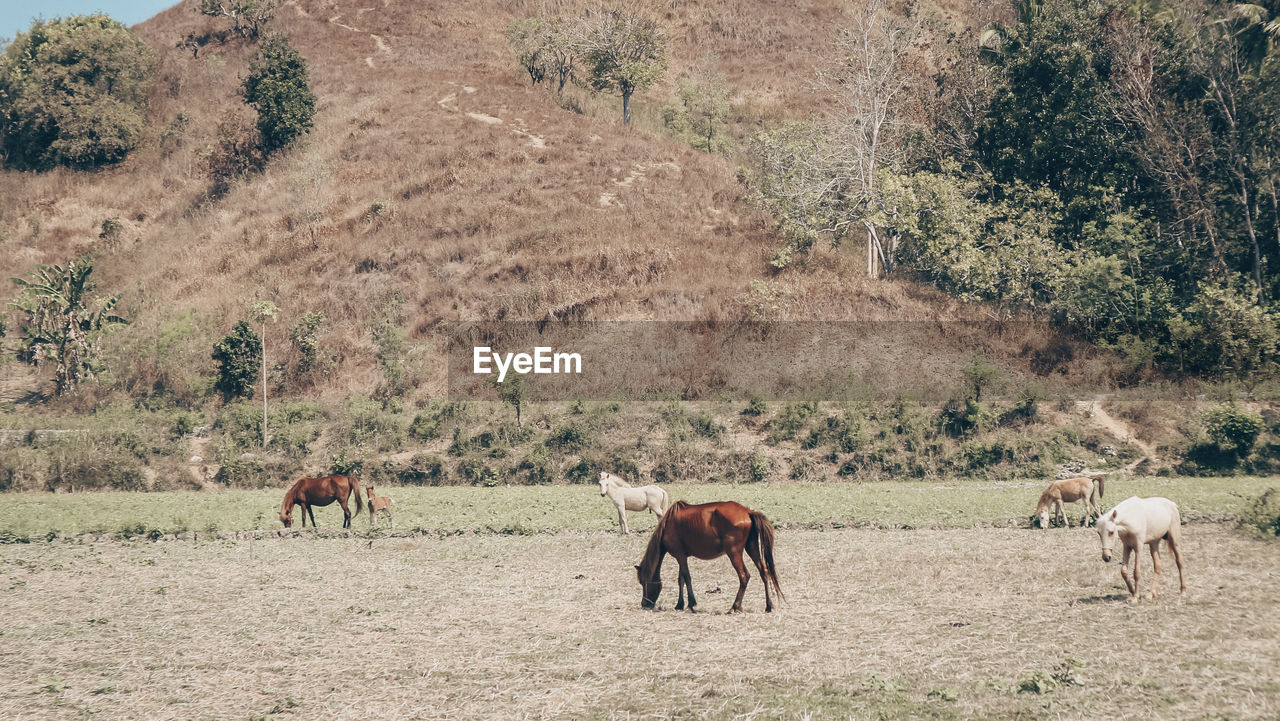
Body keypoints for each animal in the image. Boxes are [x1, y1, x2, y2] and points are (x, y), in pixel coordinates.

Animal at [637, 502, 783, 614]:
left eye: (643, 582)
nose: (644, 604)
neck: (668, 525)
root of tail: (748, 512)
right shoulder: (681, 556)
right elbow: (681, 579)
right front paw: (679, 604)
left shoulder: (680, 556)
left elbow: (687, 577)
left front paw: (691, 604)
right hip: (752, 548)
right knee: (764, 572)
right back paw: (768, 606)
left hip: (734, 553)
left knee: (744, 576)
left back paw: (734, 607)